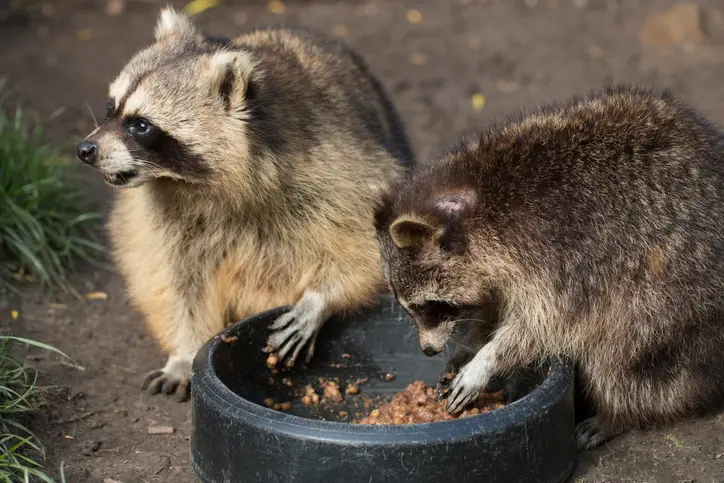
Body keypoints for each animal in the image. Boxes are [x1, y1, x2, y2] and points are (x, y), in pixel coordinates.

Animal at [76, 7, 416, 402]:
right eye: (110, 108)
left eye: (141, 126)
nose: (85, 150)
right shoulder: (160, 211)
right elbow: (174, 279)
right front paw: (184, 352)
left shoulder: (334, 162)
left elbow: (369, 241)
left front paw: (319, 299)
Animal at [376, 85, 724, 452]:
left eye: (430, 306)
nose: (428, 350)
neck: (477, 199)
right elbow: (497, 301)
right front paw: (471, 344)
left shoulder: (566, 255)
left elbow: (543, 325)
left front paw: (487, 359)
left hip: (675, 296)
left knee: (622, 354)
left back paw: (619, 412)